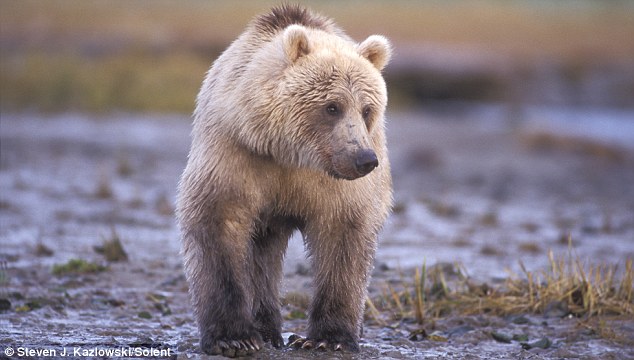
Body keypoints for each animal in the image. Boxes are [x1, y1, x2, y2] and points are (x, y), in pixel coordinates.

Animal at [174, 4, 390, 358]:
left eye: (367, 109)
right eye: (332, 106)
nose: (364, 159)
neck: (288, 154)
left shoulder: (335, 185)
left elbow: (343, 239)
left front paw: (328, 338)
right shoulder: (235, 154)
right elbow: (218, 223)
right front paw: (233, 338)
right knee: (261, 257)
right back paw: (264, 329)